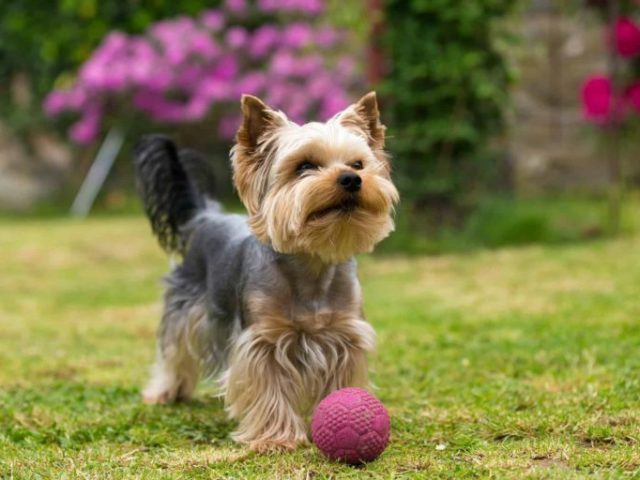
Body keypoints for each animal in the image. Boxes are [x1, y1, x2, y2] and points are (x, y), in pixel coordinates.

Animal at [133, 93, 398, 450]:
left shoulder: (344, 335)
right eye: (304, 166)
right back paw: (165, 392)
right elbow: (267, 387)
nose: (352, 179)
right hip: (185, 307)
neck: (312, 262)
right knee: (175, 350)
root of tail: (206, 215)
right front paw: (275, 438)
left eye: (358, 164)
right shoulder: (262, 341)